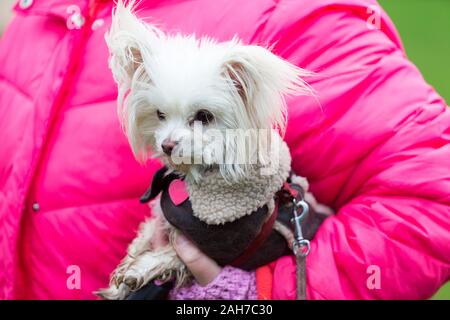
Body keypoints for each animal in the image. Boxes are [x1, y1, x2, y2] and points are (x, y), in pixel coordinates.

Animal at [97, 0, 320, 300]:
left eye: (204, 116)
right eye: (160, 114)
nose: (167, 145)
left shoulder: (221, 250)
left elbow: (171, 254)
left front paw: (138, 270)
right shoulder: (161, 219)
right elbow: (145, 236)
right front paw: (118, 284)